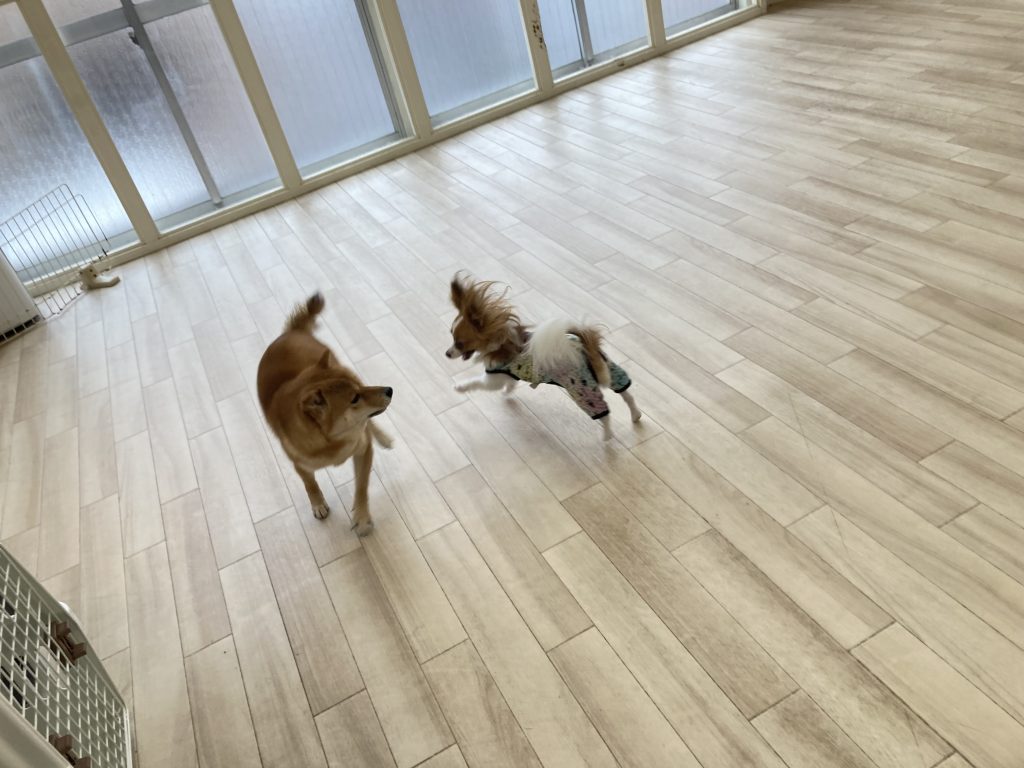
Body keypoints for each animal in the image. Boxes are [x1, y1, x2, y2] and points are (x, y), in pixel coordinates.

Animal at [257, 293, 392, 536]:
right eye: (354, 398)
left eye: (360, 388)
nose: (389, 390)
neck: (333, 443)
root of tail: (292, 331)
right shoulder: (300, 466)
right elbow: (310, 485)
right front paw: (318, 505)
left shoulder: (363, 449)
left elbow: (362, 486)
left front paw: (362, 517)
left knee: (371, 425)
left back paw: (383, 437)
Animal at [445, 273, 641, 439]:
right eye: (451, 335)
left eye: (459, 343)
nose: (447, 353)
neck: (501, 341)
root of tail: (584, 347)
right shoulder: (510, 375)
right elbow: (510, 384)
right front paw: (507, 392)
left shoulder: (494, 378)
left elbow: (476, 382)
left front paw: (460, 387)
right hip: (611, 371)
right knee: (627, 395)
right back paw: (636, 415)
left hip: (582, 390)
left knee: (605, 414)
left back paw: (607, 436)